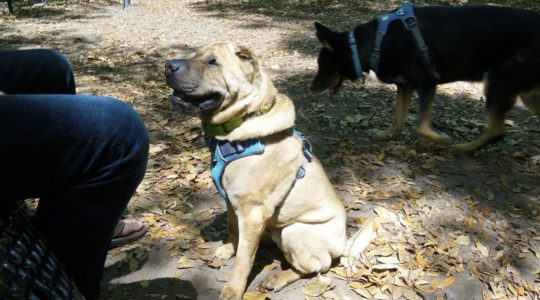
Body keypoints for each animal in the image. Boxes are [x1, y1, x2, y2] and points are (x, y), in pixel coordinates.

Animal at [165, 42, 372, 300]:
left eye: (213, 62)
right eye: (195, 54)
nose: (168, 65)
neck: (241, 124)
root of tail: (343, 244)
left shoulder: (252, 212)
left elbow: (244, 259)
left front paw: (234, 289)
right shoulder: (232, 202)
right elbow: (233, 230)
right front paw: (229, 249)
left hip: (294, 231)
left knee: (317, 266)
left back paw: (277, 278)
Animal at [312, 5, 540, 152]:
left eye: (323, 66)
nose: (311, 89)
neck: (377, 42)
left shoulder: (427, 83)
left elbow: (419, 126)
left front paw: (440, 140)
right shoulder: (405, 86)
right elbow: (398, 118)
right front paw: (386, 135)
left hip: (497, 83)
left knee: (497, 129)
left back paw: (464, 148)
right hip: (527, 96)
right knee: (499, 127)